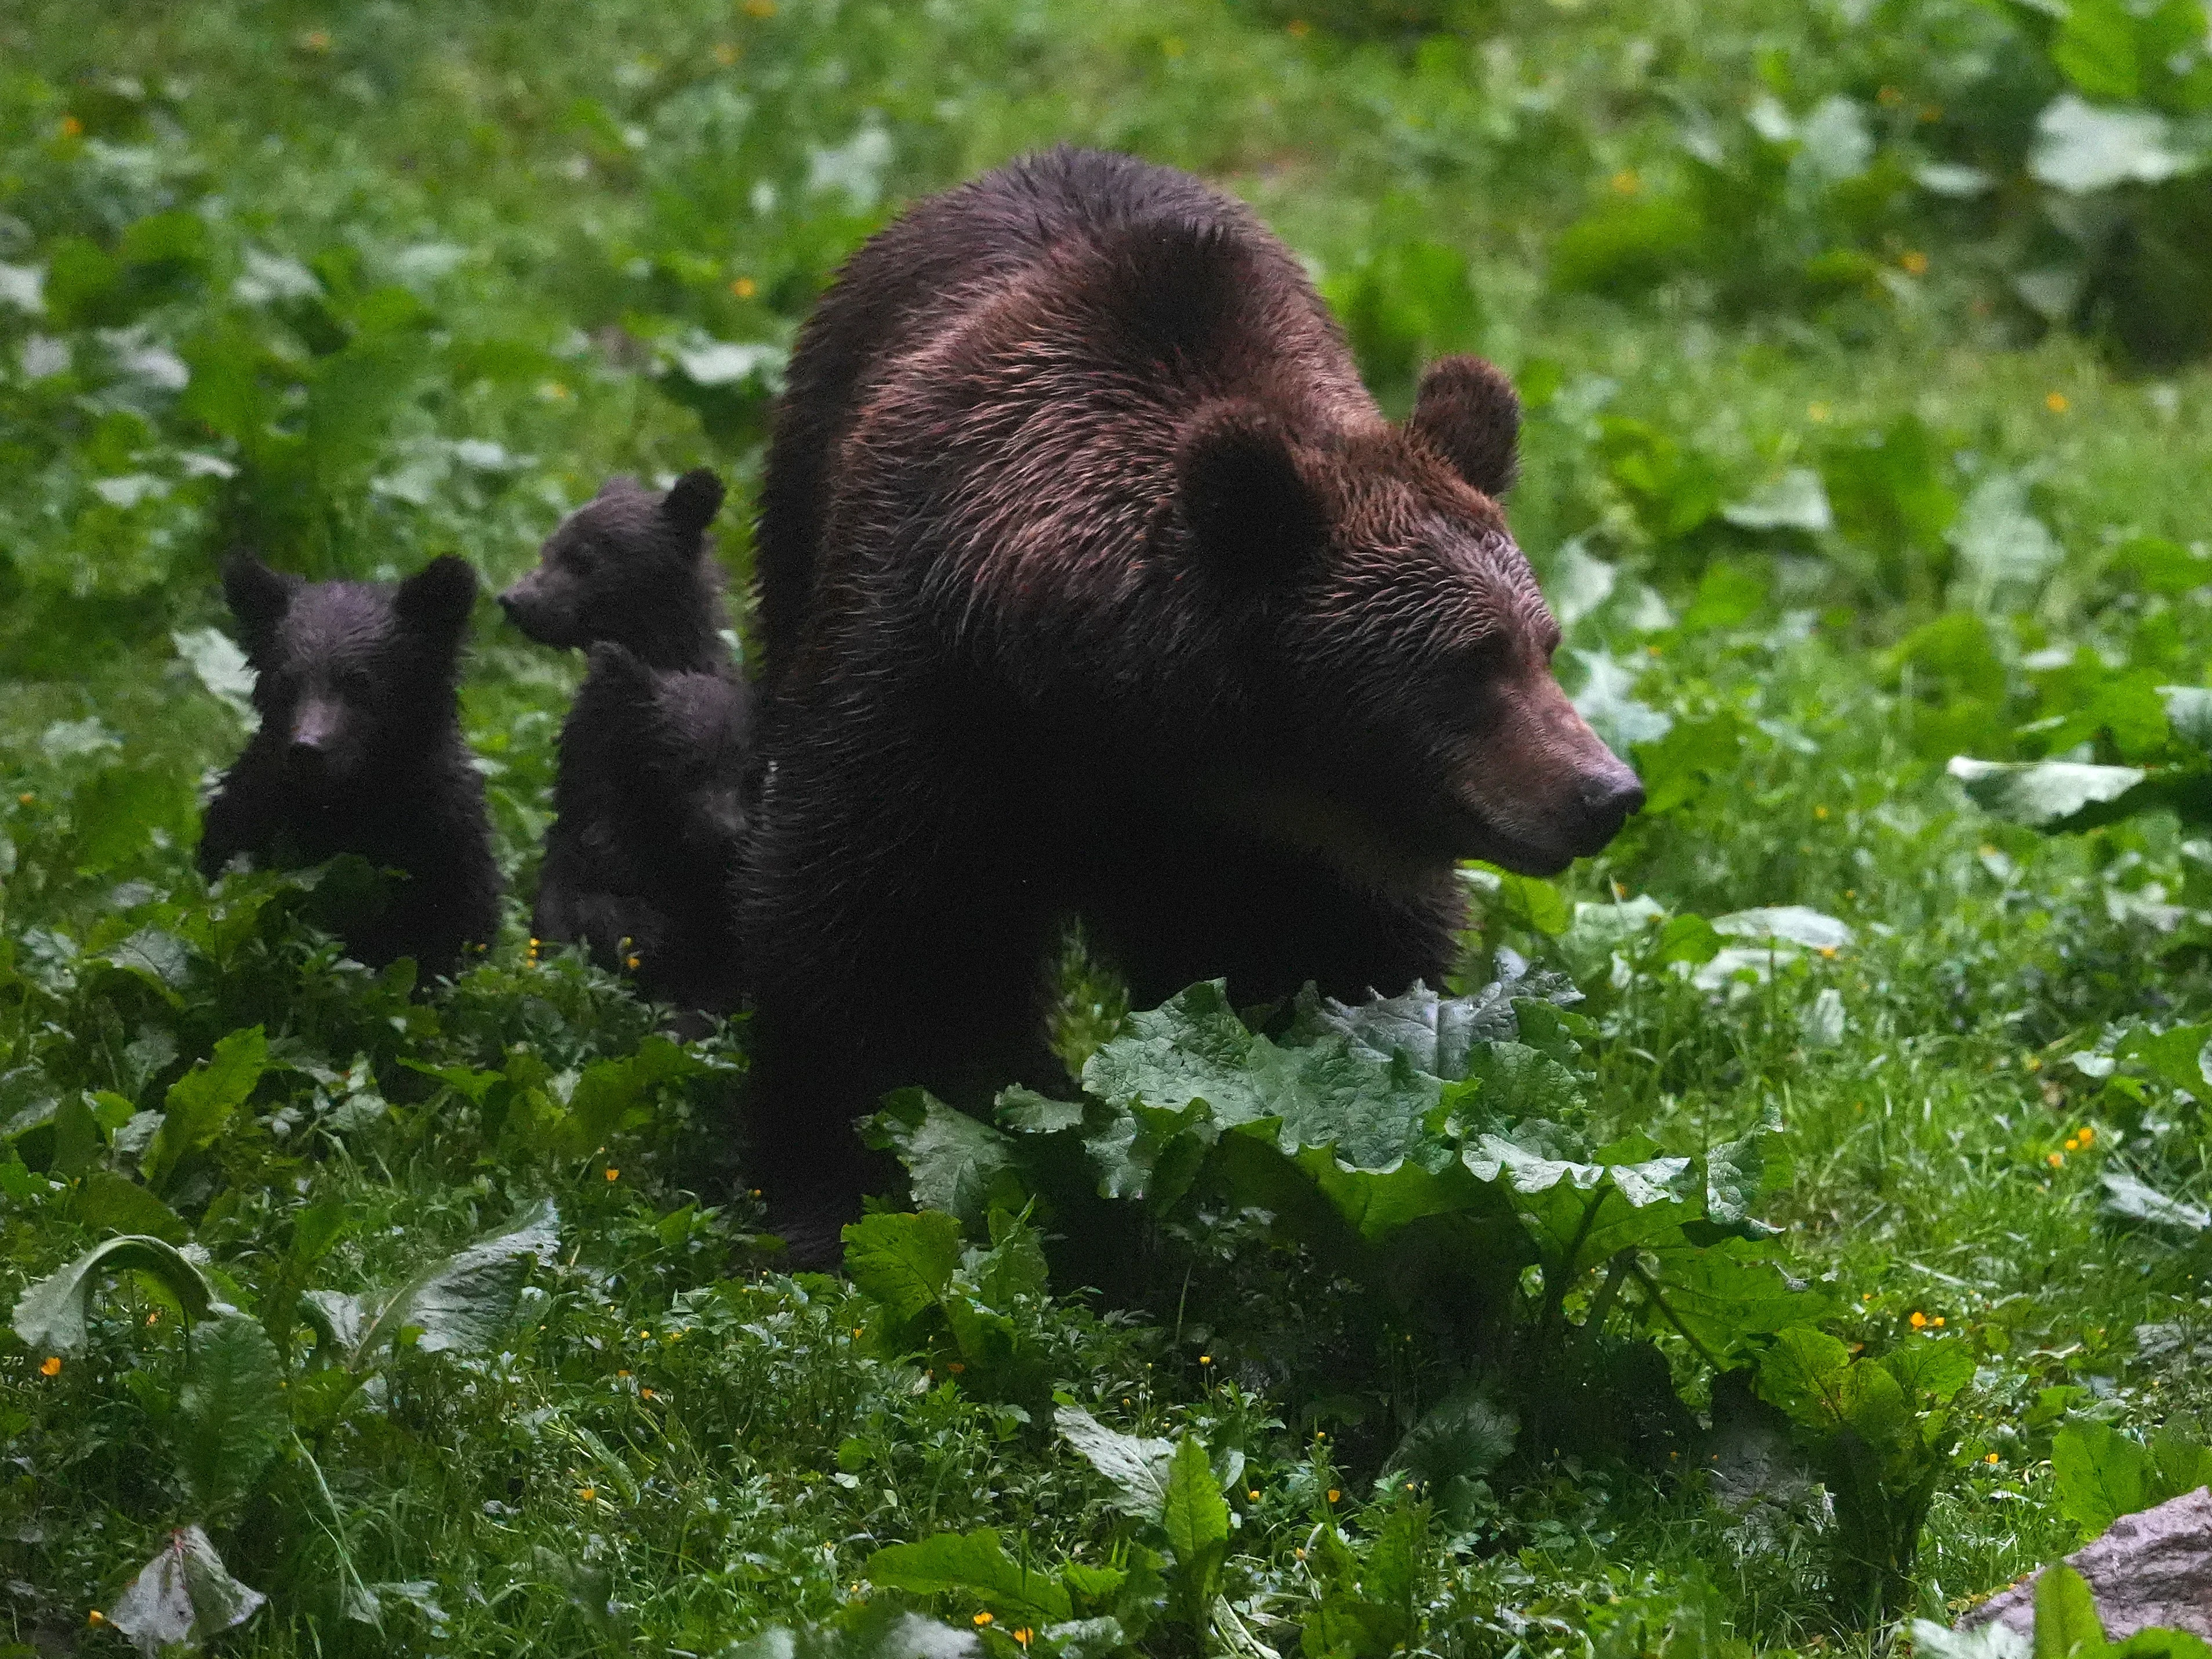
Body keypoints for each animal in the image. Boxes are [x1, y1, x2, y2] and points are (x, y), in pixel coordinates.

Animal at [198, 553, 501, 986]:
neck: (349, 804)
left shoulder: (443, 848)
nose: (307, 750)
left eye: (360, 683)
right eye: (286, 682)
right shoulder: (252, 828)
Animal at [742, 147, 1643, 1260]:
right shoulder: (930, 699)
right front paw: (840, 1188)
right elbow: (873, 935)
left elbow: (1335, 978)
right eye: (1467, 663)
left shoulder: (1277, 849)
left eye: (1544, 644)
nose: (1604, 790)